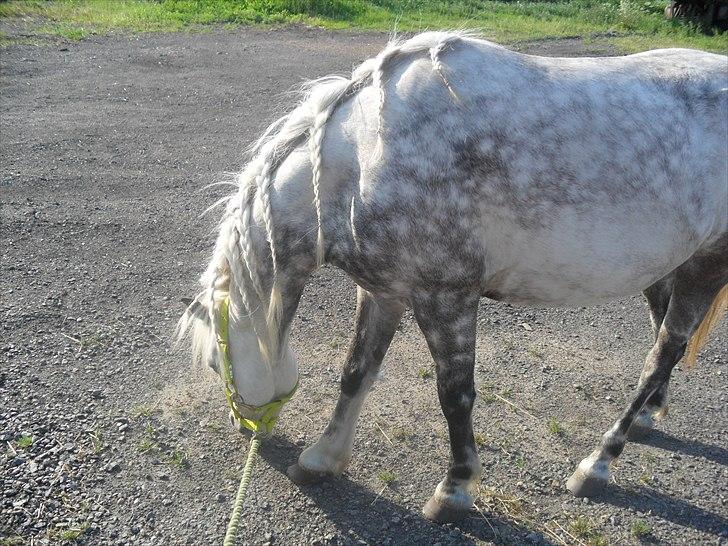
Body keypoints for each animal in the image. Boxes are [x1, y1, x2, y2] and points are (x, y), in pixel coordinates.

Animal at [179, 31, 728, 523]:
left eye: (212, 361)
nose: (246, 428)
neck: (365, 160)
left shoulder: (446, 299)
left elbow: (455, 396)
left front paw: (455, 490)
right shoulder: (383, 292)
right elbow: (356, 371)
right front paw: (321, 459)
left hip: (708, 263)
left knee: (663, 352)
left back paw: (597, 464)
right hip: (668, 263)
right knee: (662, 333)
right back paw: (648, 418)